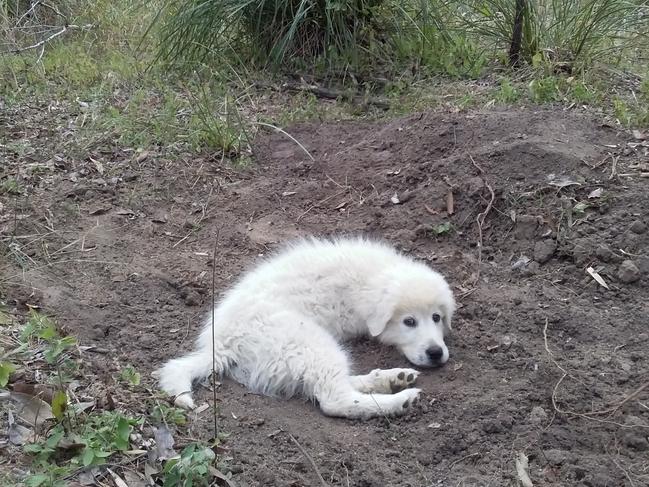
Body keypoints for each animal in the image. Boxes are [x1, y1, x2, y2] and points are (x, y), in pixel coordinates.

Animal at [154, 237, 454, 420]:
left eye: (437, 317)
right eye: (409, 321)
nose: (436, 353)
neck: (369, 280)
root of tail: (221, 346)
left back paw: (392, 378)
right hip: (307, 341)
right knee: (334, 398)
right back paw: (401, 399)